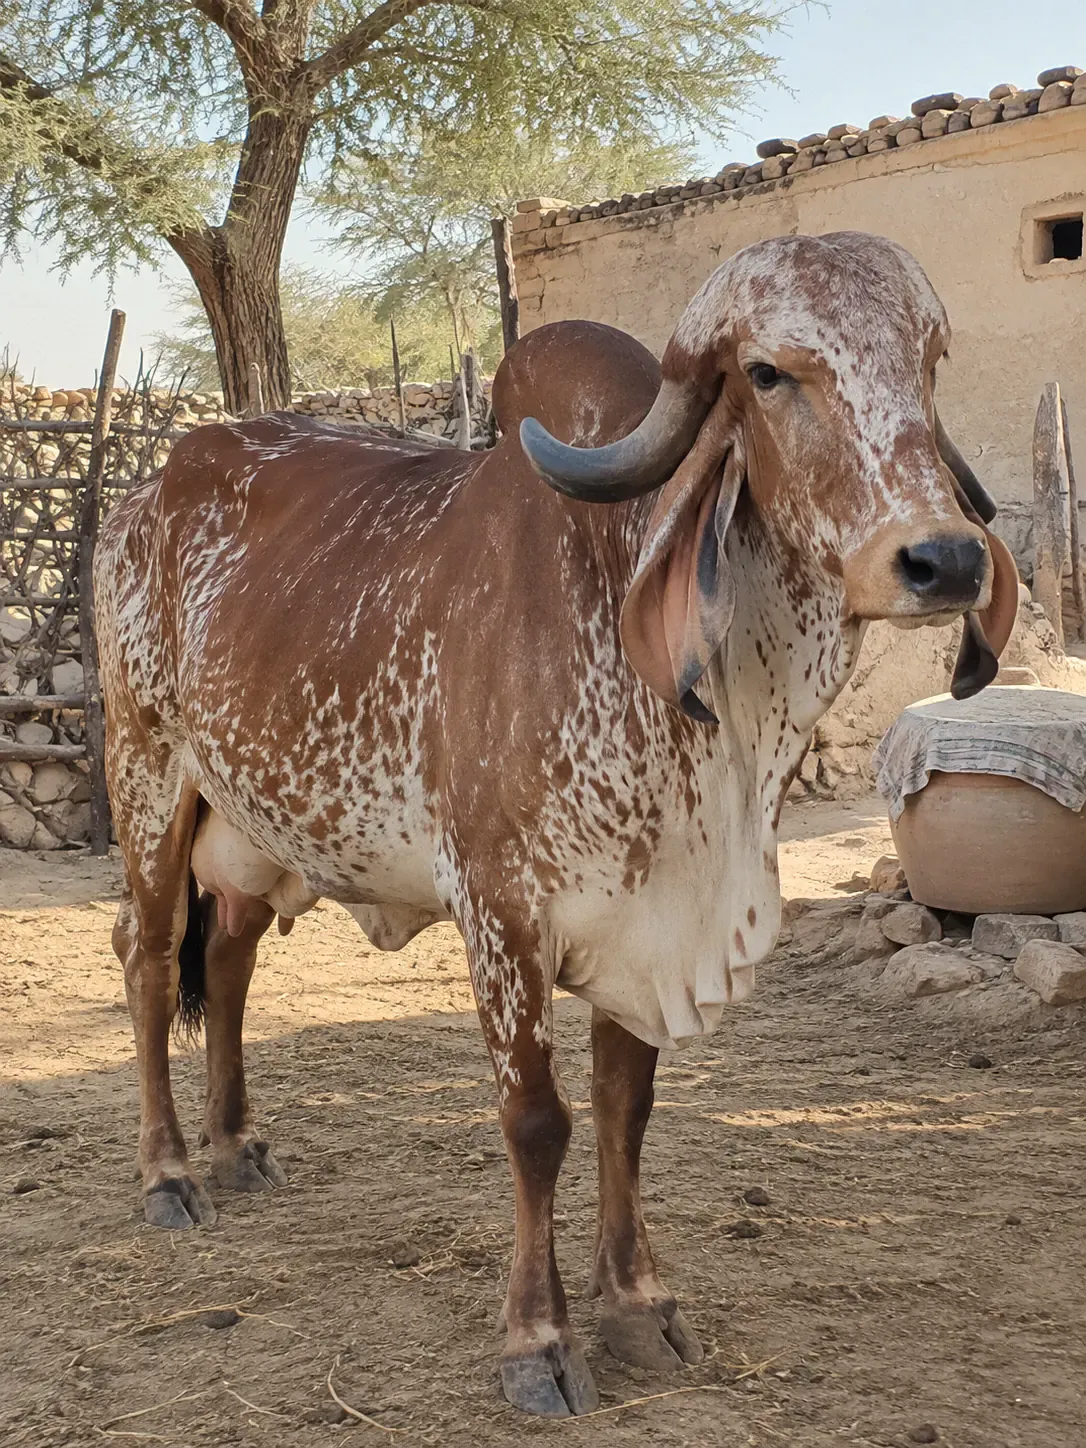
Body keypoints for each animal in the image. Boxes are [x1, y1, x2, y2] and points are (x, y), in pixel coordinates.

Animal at [95, 232, 1018, 1418]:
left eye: (929, 360)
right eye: (769, 373)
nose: (944, 559)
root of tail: (151, 486)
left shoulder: (646, 915)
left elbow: (627, 1108)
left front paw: (637, 1302)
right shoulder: (502, 911)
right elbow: (539, 1122)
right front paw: (537, 1340)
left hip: (257, 819)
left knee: (230, 952)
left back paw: (235, 1145)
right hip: (148, 771)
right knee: (152, 951)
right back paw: (168, 1172)